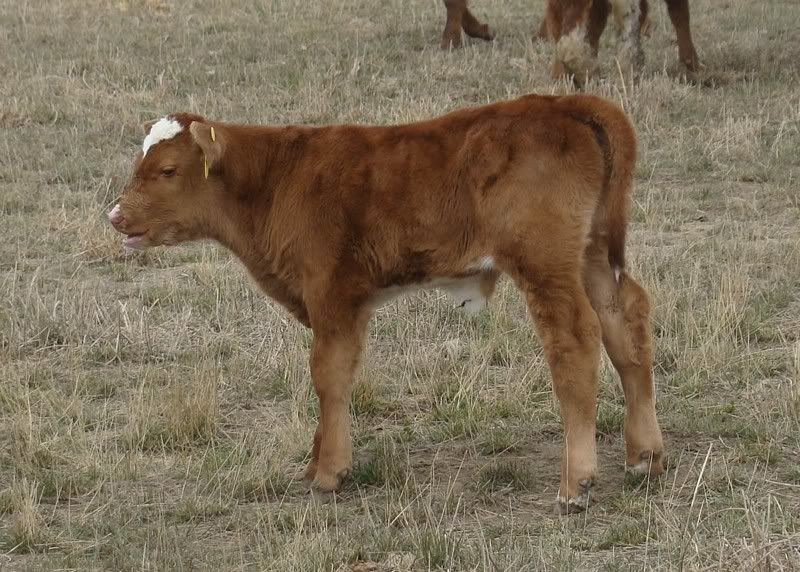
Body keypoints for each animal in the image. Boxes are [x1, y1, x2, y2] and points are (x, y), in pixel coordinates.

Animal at [108, 93, 665, 513]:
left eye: (167, 169)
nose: (114, 216)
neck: (279, 178)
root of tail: (565, 102)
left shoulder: (332, 295)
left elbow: (328, 376)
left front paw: (329, 472)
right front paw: (314, 463)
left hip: (546, 264)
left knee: (574, 339)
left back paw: (577, 483)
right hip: (592, 255)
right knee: (625, 323)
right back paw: (645, 456)